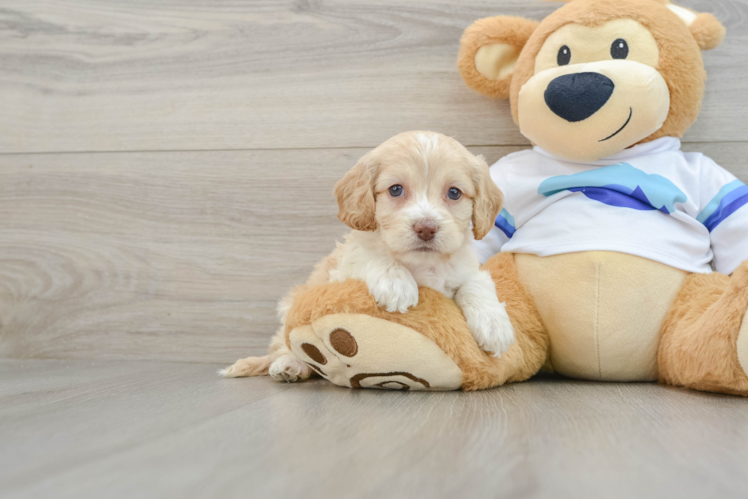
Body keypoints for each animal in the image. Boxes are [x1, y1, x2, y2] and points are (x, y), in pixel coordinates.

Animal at [221, 131, 516, 380]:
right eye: (396, 189)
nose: (426, 228)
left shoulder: (465, 268)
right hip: (290, 307)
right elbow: (369, 255)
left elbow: (477, 282)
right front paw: (396, 283)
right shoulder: (344, 267)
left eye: (454, 193)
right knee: (284, 346)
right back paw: (289, 365)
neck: (420, 264)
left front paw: (494, 325)